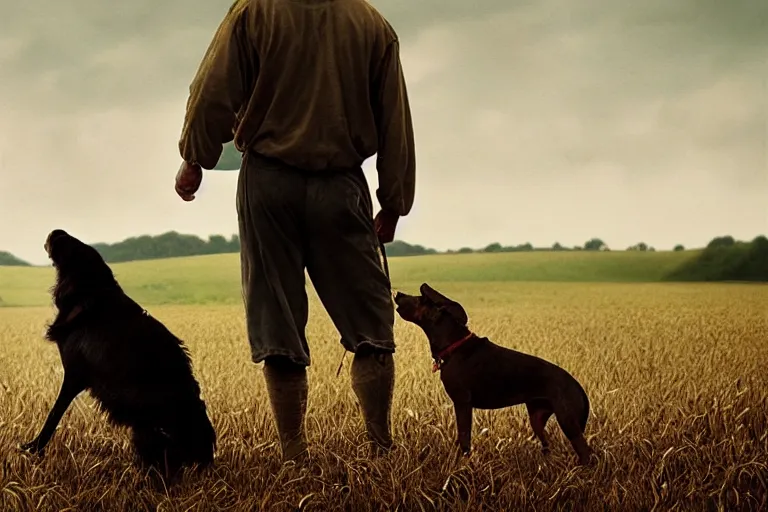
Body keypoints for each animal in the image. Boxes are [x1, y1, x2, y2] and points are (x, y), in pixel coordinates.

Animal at [21, 230, 216, 482]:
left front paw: (33, 449)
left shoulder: (75, 375)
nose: (56, 232)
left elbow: (53, 414)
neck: (91, 298)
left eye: (67, 245)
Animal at [392, 282, 592, 466]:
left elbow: (464, 439)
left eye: (420, 299)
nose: (398, 293)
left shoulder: (462, 402)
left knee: (585, 452)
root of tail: (578, 386)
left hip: (568, 421)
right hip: (537, 417)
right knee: (547, 444)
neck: (454, 345)